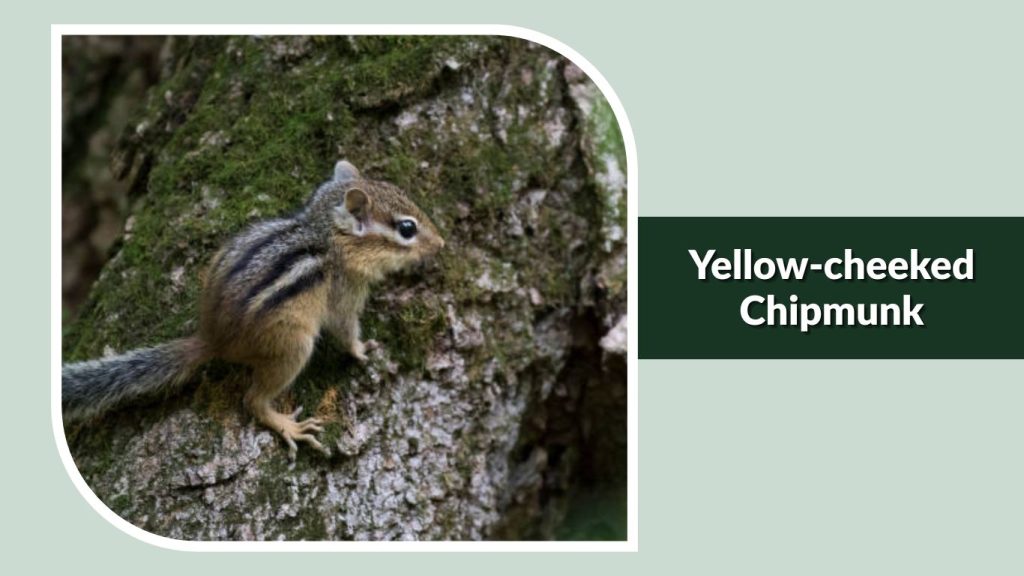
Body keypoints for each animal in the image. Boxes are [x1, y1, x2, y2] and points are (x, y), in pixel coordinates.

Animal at [62, 160, 445, 459]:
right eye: (407, 228)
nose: (441, 243)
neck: (328, 235)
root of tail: (212, 337)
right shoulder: (344, 293)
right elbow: (345, 330)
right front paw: (363, 350)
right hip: (292, 346)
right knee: (253, 400)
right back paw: (287, 425)